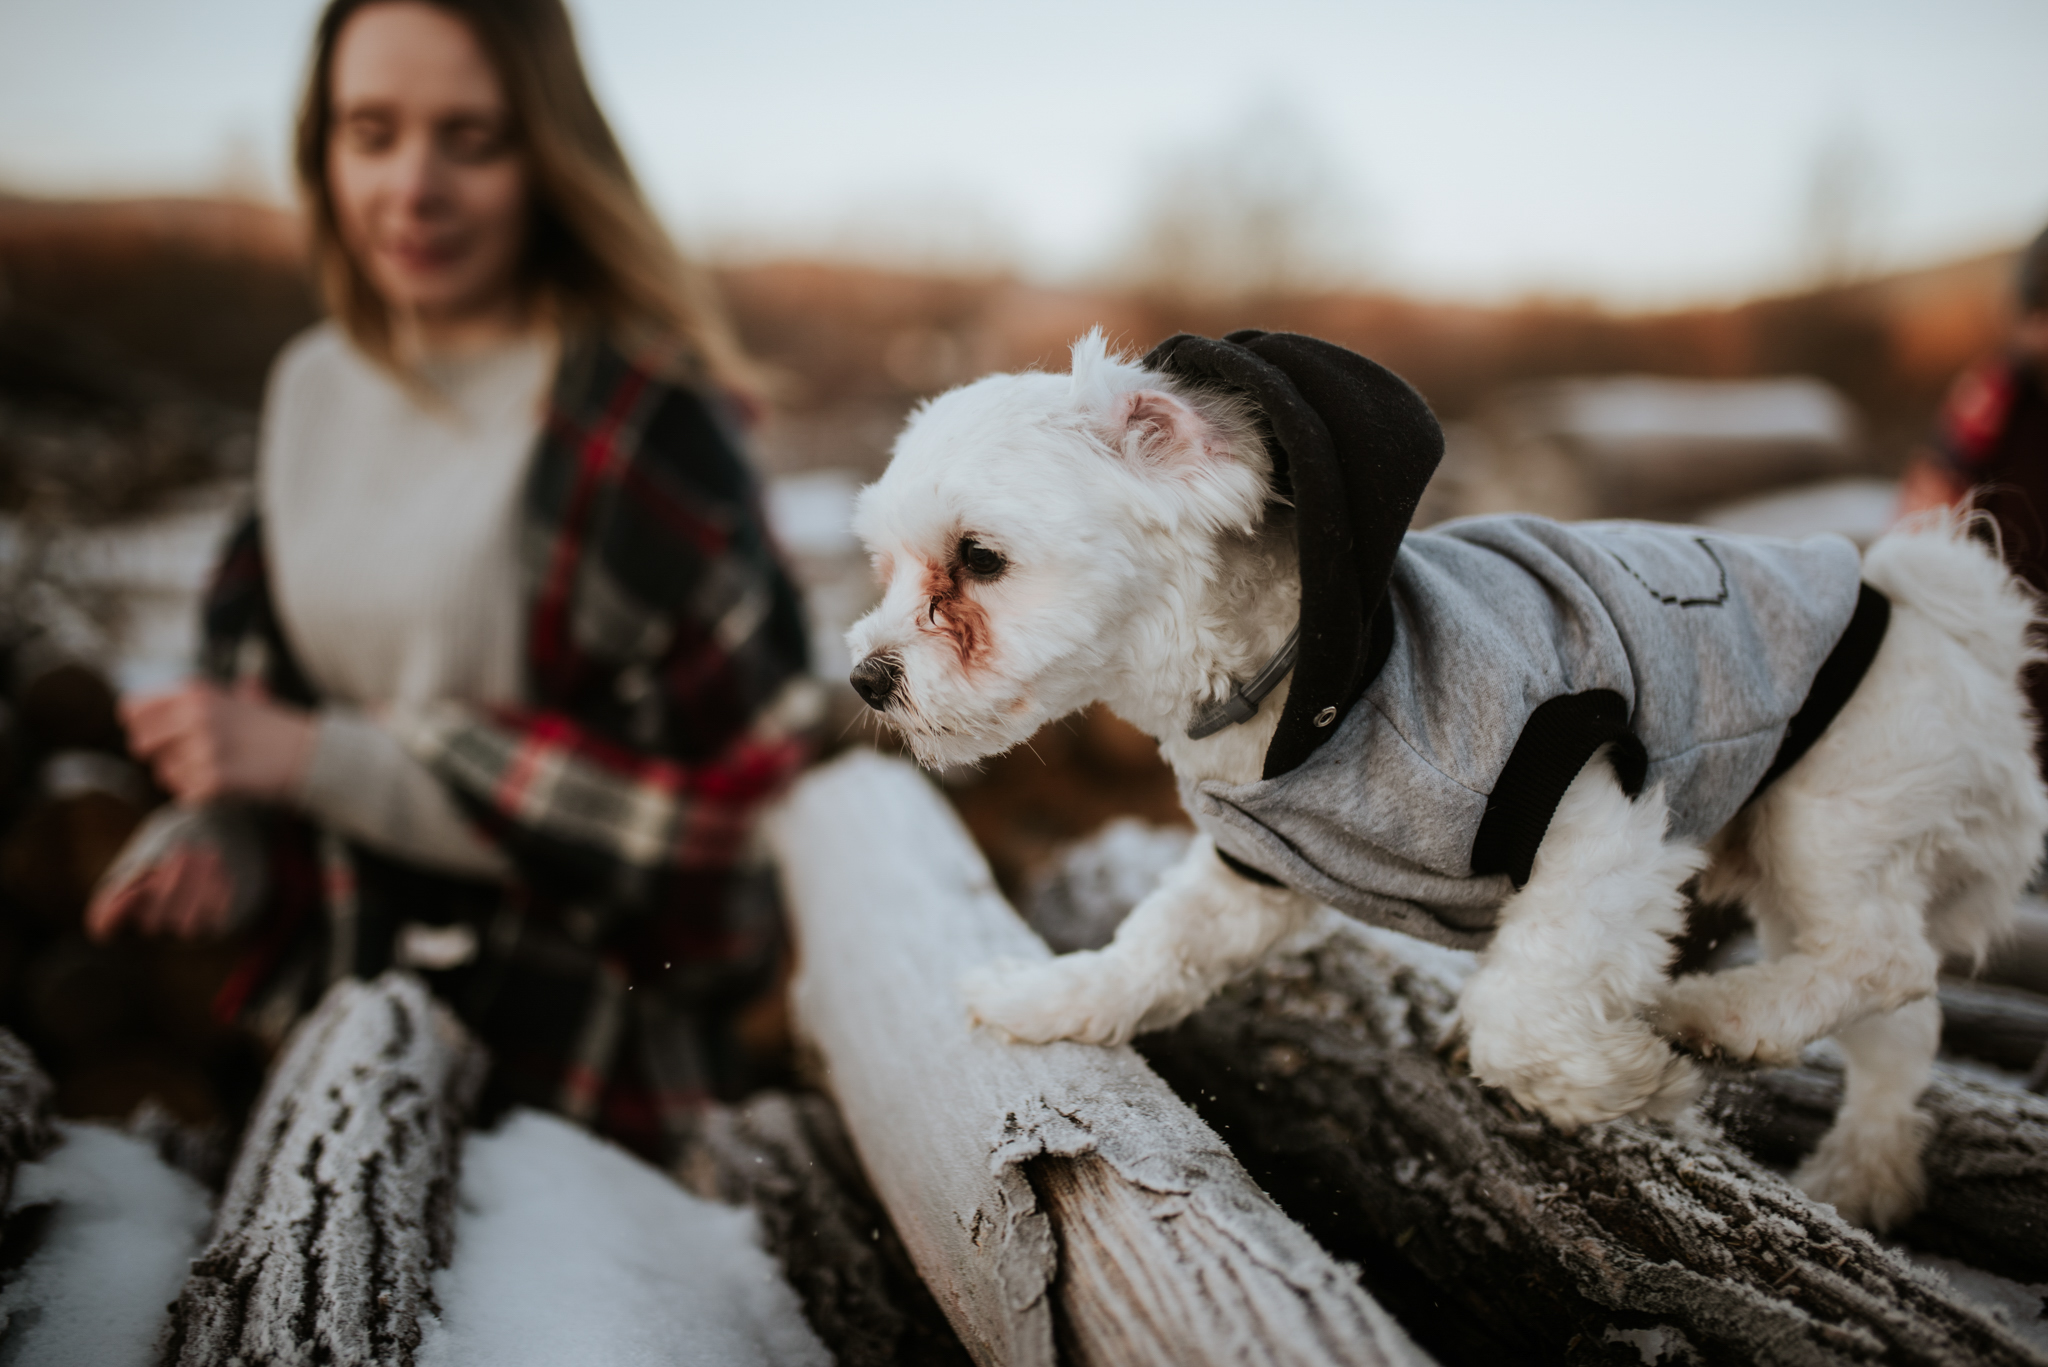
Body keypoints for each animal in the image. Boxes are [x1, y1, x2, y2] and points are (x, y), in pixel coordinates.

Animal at [843, 332, 2048, 1229]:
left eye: (980, 559)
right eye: (884, 567)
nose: (864, 675)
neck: (1314, 690)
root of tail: (1942, 609)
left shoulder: (1596, 805)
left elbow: (1518, 1010)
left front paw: (1633, 1077)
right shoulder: (1249, 873)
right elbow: (1153, 950)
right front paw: (1051, 997)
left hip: (1830, 805)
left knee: (1881, 958)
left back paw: (1719, 1016)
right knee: (1899, 1020)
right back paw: (1862, 1172)